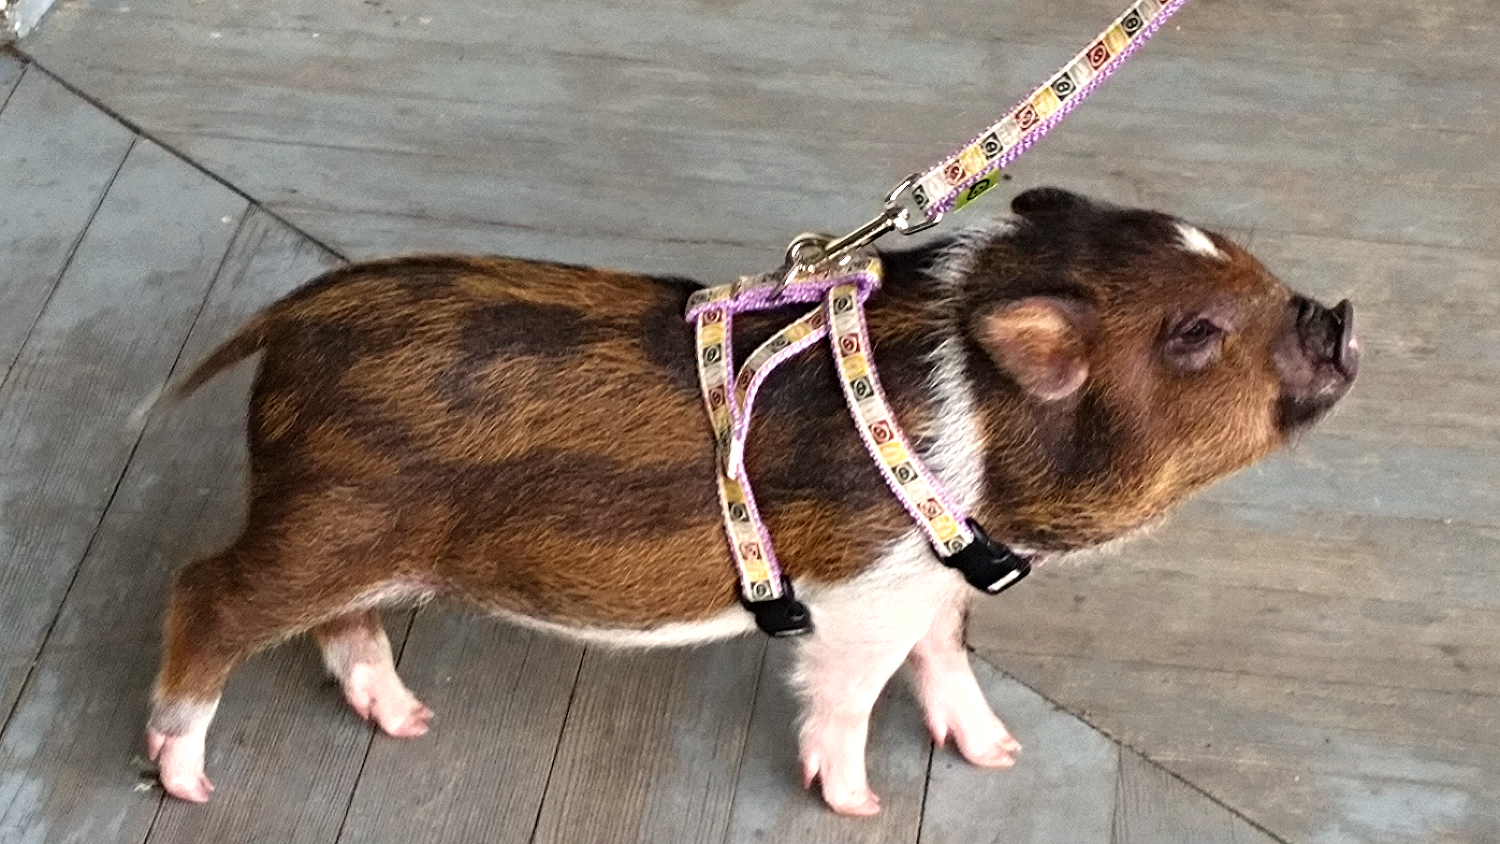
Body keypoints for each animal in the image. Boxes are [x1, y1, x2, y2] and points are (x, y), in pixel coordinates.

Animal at [146, 187, 1358, 814]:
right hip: (323, 522)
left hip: (360, 543)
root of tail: (293, 321)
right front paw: (861, 806)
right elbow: (850, 692)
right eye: (1194, 333)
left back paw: (408, 721)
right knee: (204, 594)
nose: (1339, 314)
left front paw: (998, 757)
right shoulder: (866, 592)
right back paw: (188, 780)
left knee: (337, 629)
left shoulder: (934, 581)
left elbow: (946, 656)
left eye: (1247, 265)